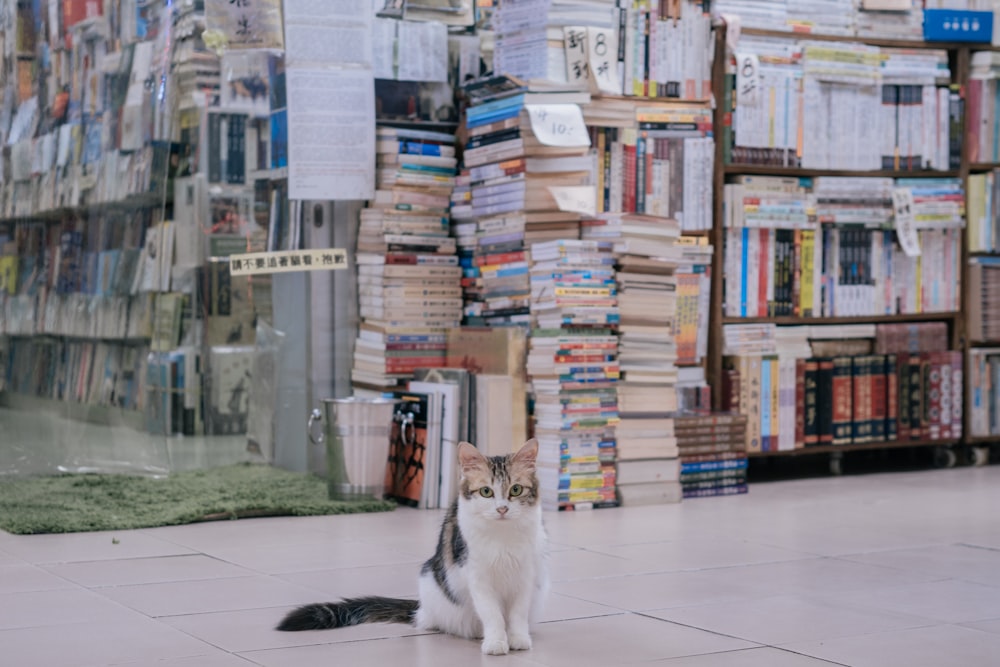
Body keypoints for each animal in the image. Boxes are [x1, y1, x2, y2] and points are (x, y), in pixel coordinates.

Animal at [278, 438, 552, 656]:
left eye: (515, 489)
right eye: (486, 492)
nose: (502, 509)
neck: (503, 537)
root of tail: (421, 609)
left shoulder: (525, 576)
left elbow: (517, 615)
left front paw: (517, 639)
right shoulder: (477, 577)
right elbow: (492, 613)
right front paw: (496, 641)